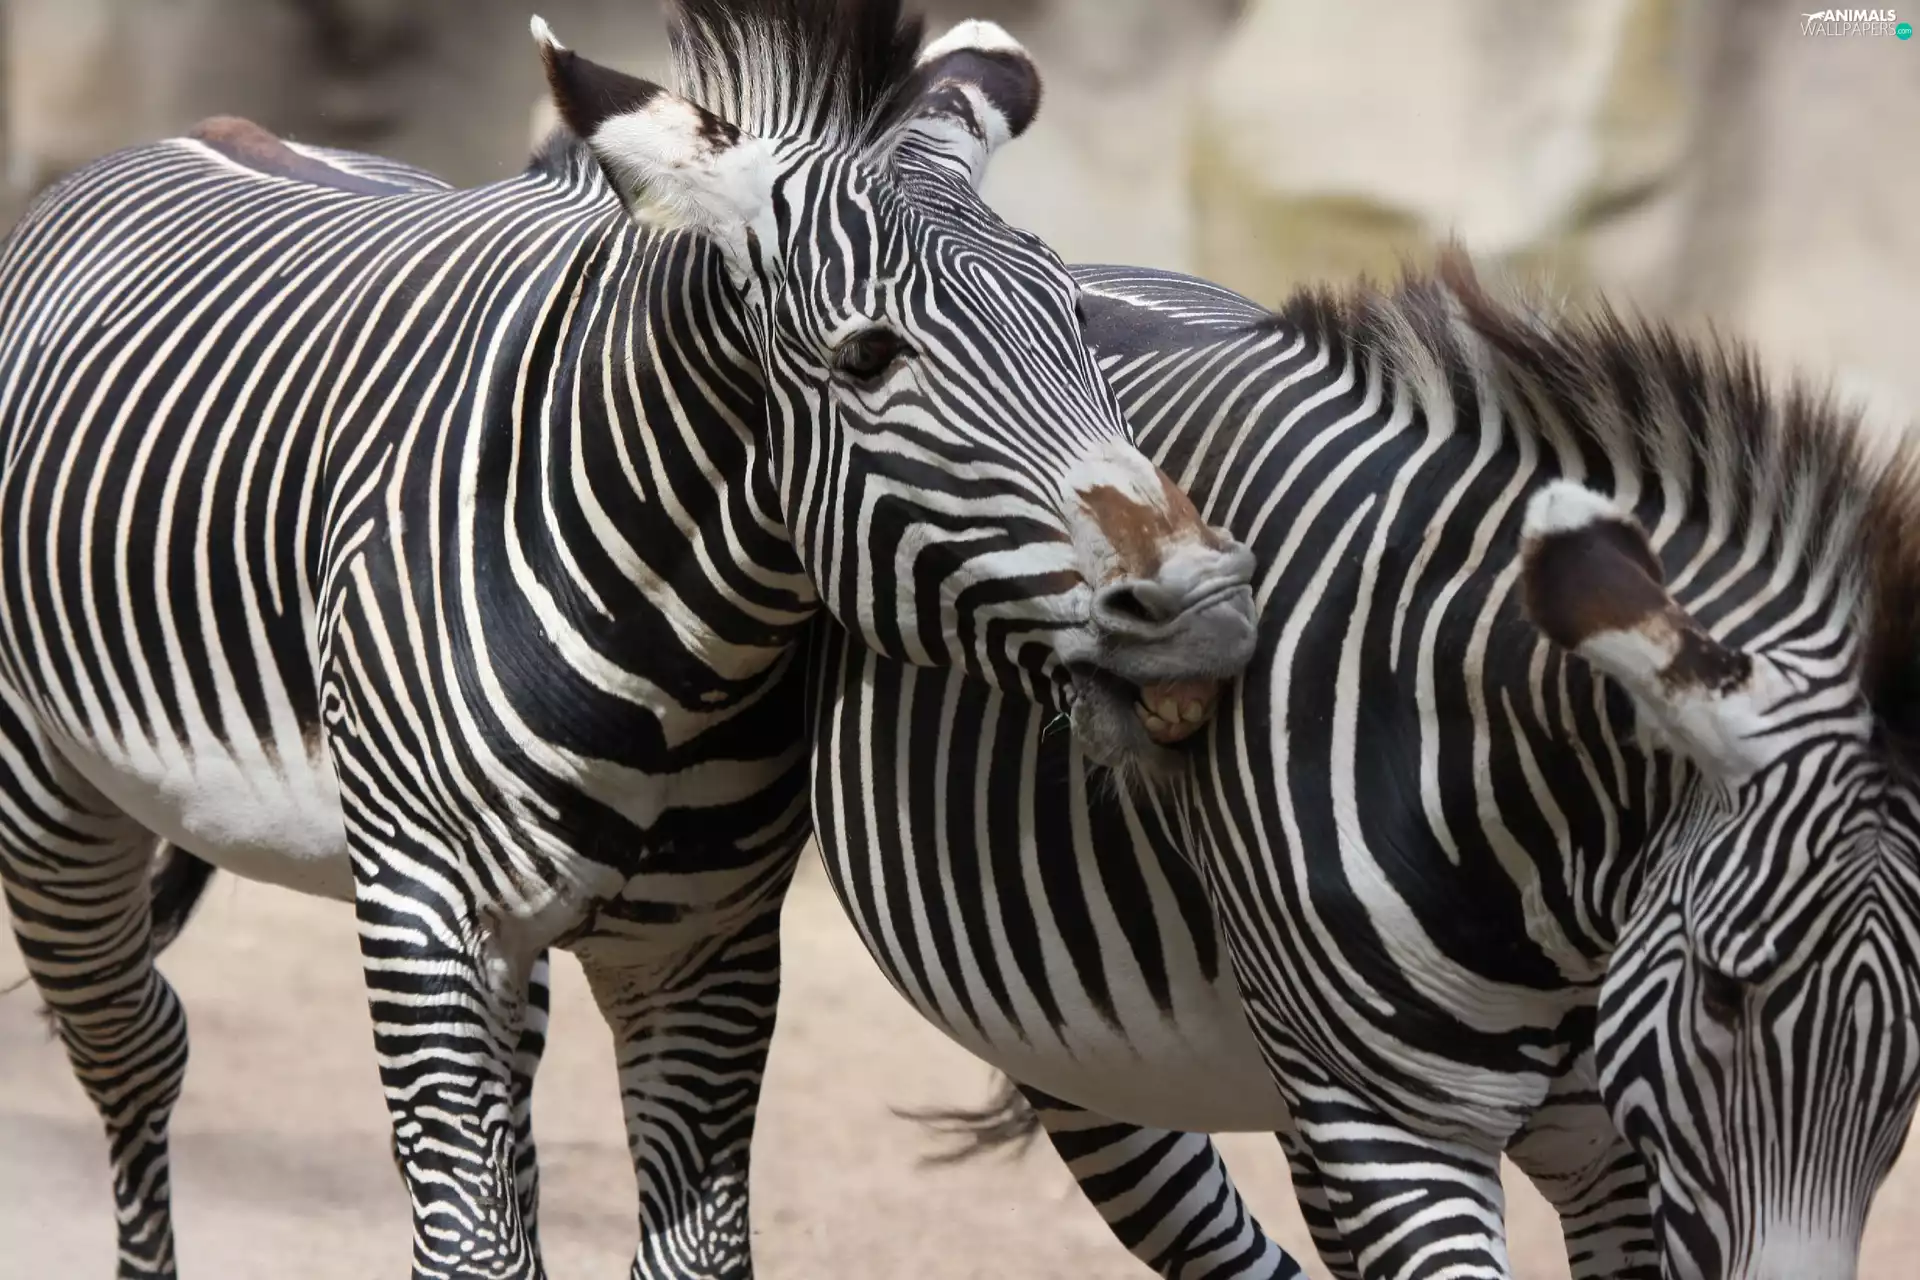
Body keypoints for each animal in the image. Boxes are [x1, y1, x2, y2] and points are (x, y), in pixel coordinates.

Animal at [0, 2, 1263, 1276]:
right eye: (866, 355)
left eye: (1075, 317)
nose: (1208, 605)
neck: (673, 659)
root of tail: (207, 131)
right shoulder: (422, 902)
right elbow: (469, 1243)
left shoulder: (703, 946)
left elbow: (678, 1245)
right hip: (51, 798)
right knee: (139, 1043)